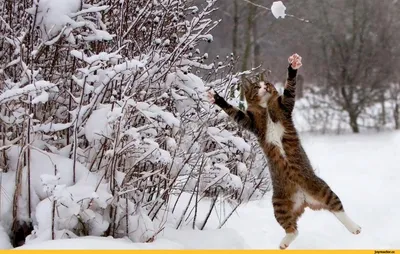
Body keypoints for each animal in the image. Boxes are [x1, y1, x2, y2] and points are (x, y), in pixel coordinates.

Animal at [208, 53, 360, 250]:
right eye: (256, 86)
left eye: (267, 83)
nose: (265, 86)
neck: (266, 107)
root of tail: (305, 200)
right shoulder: (251, 122)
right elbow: (235, 113)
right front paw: (217, 98)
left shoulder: (285, 106)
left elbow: (290, 89)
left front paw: (293, 66)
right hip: (279, 205)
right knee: (292, 229)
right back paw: (284, 243)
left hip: (321, 188)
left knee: (338, 209)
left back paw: (355, 227)